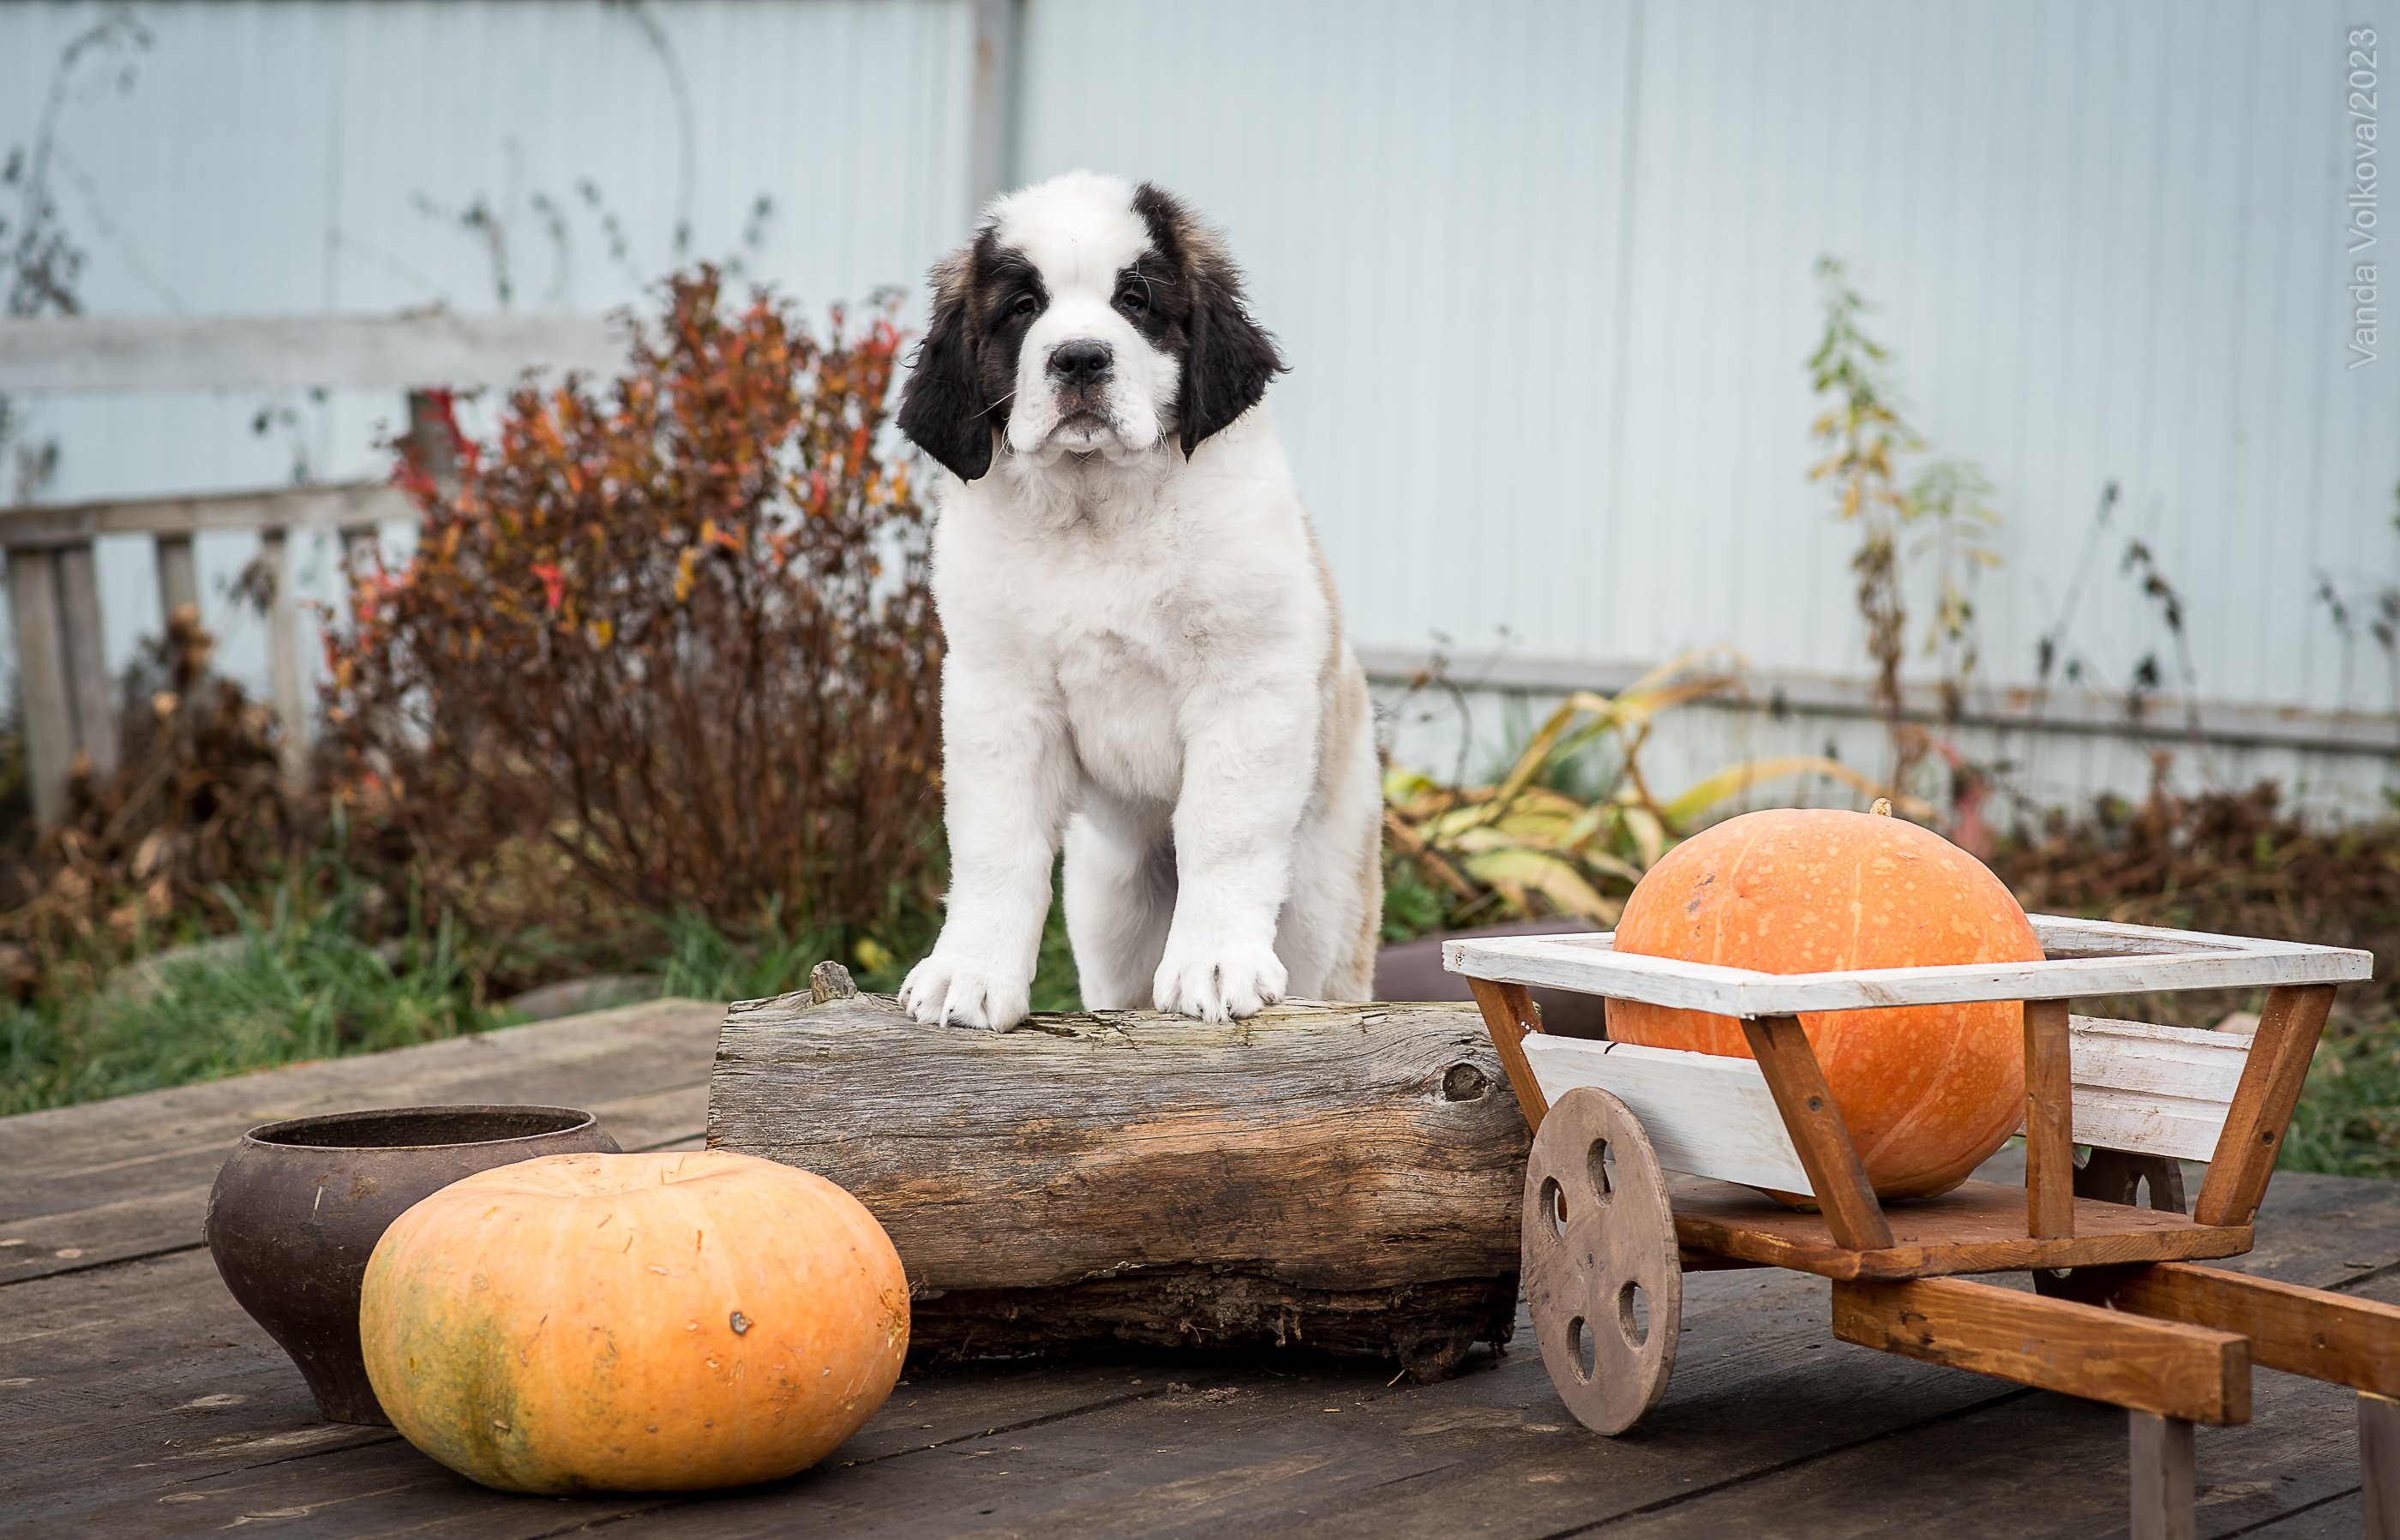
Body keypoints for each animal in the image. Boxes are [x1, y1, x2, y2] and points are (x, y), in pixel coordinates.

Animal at [892, 171, 1382, 1030]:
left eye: (1136, 298)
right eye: (1024, 306)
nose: (1081, 358)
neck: (1100, 513)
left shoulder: (1246, 688)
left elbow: (1223, 829)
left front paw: (1215, 963)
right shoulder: (999, 695)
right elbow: (995, 842)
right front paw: (969, 972)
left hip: (1326, 900)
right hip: (1109, 903)